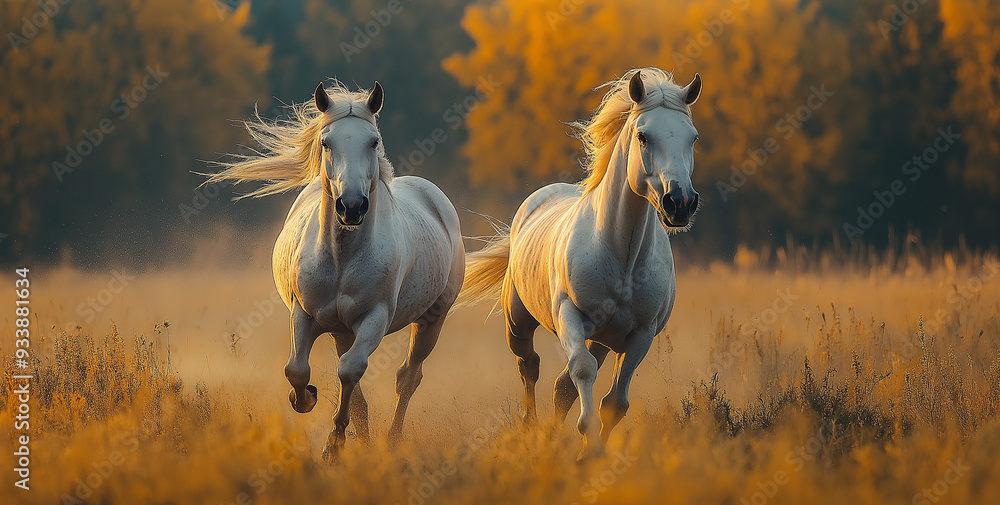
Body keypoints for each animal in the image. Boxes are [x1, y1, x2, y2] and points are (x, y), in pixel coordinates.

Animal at [209, 80, 465, 461]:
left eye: (373, 141)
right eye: (326, 142)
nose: (352, 206)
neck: (342, 256)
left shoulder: (375, 318)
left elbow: (350, 370)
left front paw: (333, 443)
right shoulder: (304, 314)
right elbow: (298, 370)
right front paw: (306, 401)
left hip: (432, 318)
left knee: (407, 377)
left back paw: (392, 440)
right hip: (342, 330)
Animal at [457, 68, 703, 459]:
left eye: (692, 138)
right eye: (643, 136)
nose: (679, 203)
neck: (622, 258)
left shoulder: (641, 334)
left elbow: (614, 402)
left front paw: (593, 451)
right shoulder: (570, 316)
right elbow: (582, 372)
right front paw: (588, 447)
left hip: (602, 338)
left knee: (561, 386)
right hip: (518, 322)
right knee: (530, 366)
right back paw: (531, 429)